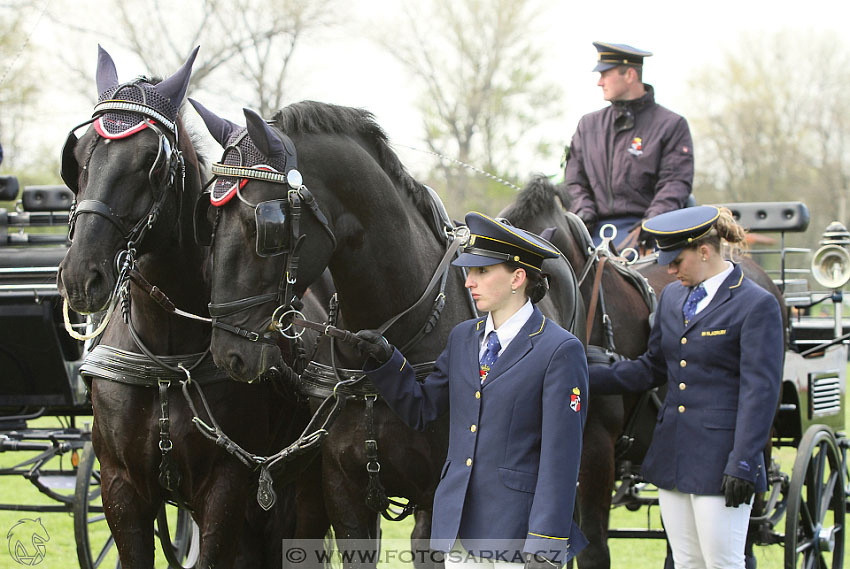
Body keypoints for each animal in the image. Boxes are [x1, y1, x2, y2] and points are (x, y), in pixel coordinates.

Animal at [56, 46, 316, 564]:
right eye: (76, 157)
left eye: (150, 160)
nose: (80, 276)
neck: (165, 357)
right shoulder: (120, 488)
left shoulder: (228, 486)